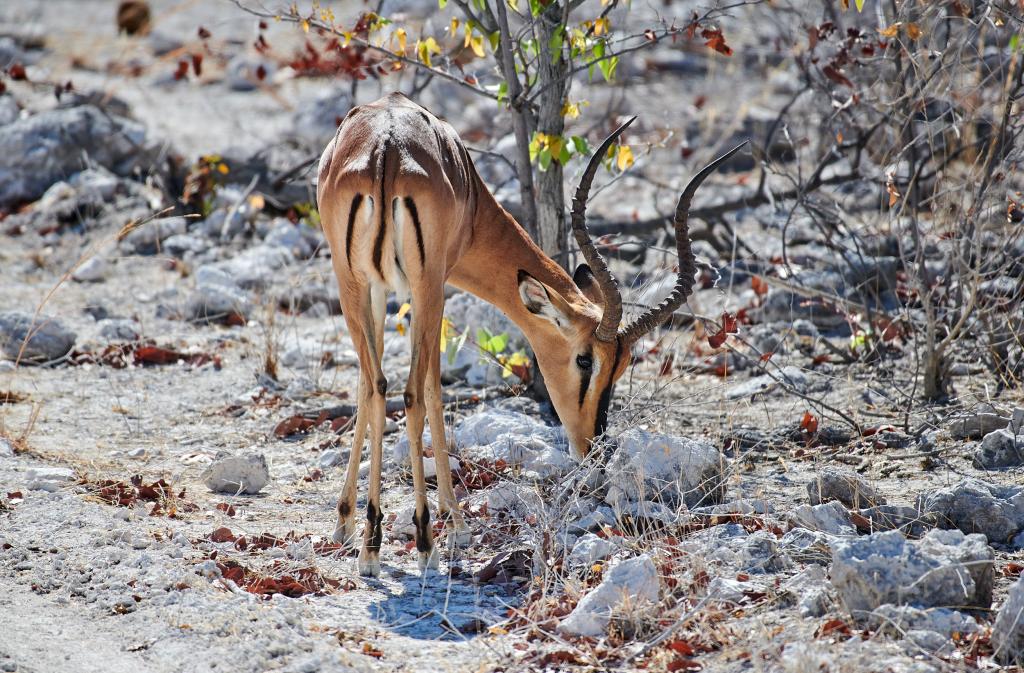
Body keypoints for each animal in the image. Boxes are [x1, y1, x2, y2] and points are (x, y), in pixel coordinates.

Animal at [315, 91, 741, 573]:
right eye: (585, 359)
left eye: (623, 366)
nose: (591, 446)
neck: (469, 193)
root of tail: (385, 149)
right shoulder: (432, 286)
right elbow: (431, 390)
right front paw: (454, 527)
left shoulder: (377, 288)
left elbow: (366, 387)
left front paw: (346, 522)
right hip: (418, 288)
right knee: (410, 394)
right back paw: (422, 542)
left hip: (351, 282)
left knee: (380, 386)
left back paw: (372, 543)